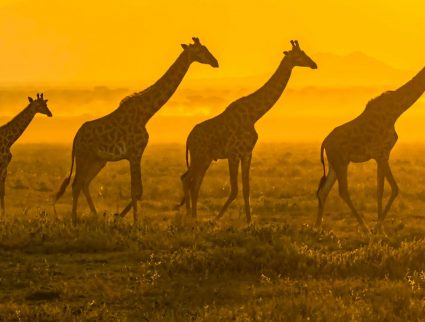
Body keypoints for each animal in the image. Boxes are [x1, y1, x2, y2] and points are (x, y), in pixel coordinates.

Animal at [53, 37, 219, 224]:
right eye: (201, 50)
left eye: (206, 48)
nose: (215, 62)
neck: (146, 113)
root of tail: (76, 137)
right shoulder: (134, 153)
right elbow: (136, 190)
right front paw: (134, 222)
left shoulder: (134, 154)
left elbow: (138, 191)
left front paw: (121, 217)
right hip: (84, 156)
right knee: (76, 184)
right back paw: (74, 219)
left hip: (98, 160)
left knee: (84, 183)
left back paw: (95, 215)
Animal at [174, 40, 316, 223]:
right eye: (299, 55)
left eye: (304, 53)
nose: (314, 64)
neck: (254, 115)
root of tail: (188, 138)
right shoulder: (234, 153)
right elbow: (234, 188)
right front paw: (216, 218)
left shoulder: (247, 153)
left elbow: (247, 187)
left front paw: (249, 221)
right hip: (200, 156)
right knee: (188, 180)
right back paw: (191, 217)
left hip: (205, 158)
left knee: (194, 182)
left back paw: (193, 216)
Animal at [314, 66, 424, 236]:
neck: (396, 110)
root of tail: (324, 143)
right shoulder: (381, 153)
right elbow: (394, 188)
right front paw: (378, 228)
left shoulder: (382, 156)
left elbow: (380, 189)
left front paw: (380, 229)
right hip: (341, 163)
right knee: (343, 191)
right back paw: (364, 227)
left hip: (334, 165)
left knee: (323, 191)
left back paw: (318, 229)